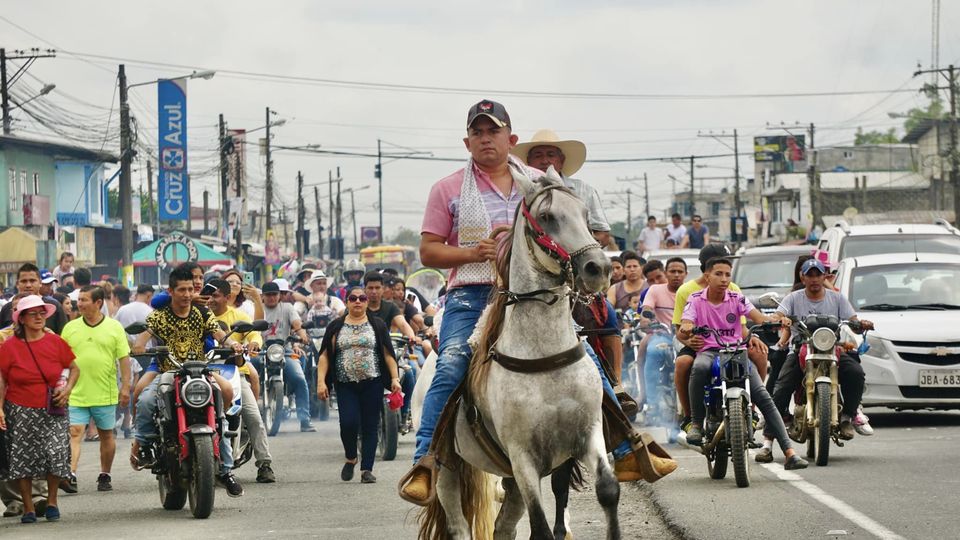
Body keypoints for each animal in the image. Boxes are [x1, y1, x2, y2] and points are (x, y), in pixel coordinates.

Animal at [417, 166, 618, 540]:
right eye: (547, 216)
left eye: (585, 214)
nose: (598, 268)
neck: (543, 359)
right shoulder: (522, 456)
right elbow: (540, 527)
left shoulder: (586, 436)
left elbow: (606, 491)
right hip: (449, 469)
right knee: (458, 524)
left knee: (503, 527)